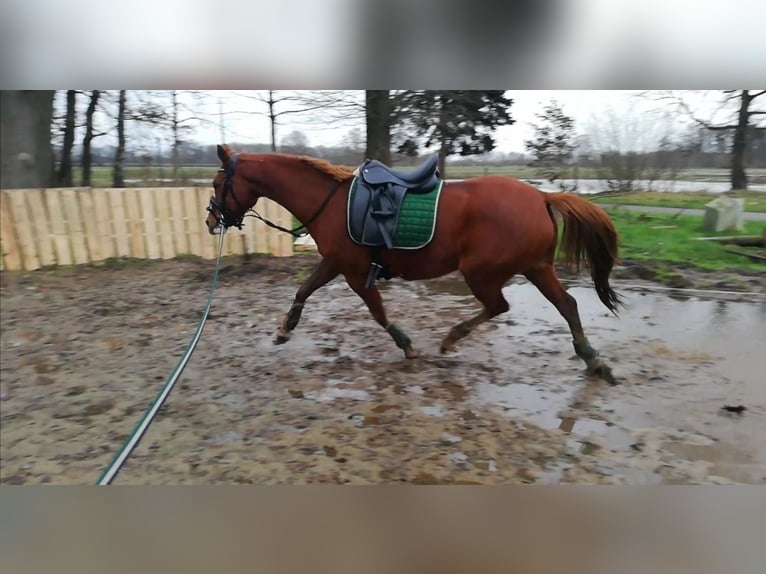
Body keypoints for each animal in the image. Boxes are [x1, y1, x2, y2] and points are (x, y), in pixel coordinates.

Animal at [206, 146, 624, 384]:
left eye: (216, 184)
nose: (211, 221)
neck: (331, 201)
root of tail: (541, 196)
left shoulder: (354, 272)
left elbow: (377, 312)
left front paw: (406, 345)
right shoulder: (335, 263)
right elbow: (304, 289)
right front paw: (284, 329)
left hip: (484, 271)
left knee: (501, 305)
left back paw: (452, 337)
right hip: (534, 267)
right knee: (564, 304)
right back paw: (592, 360)